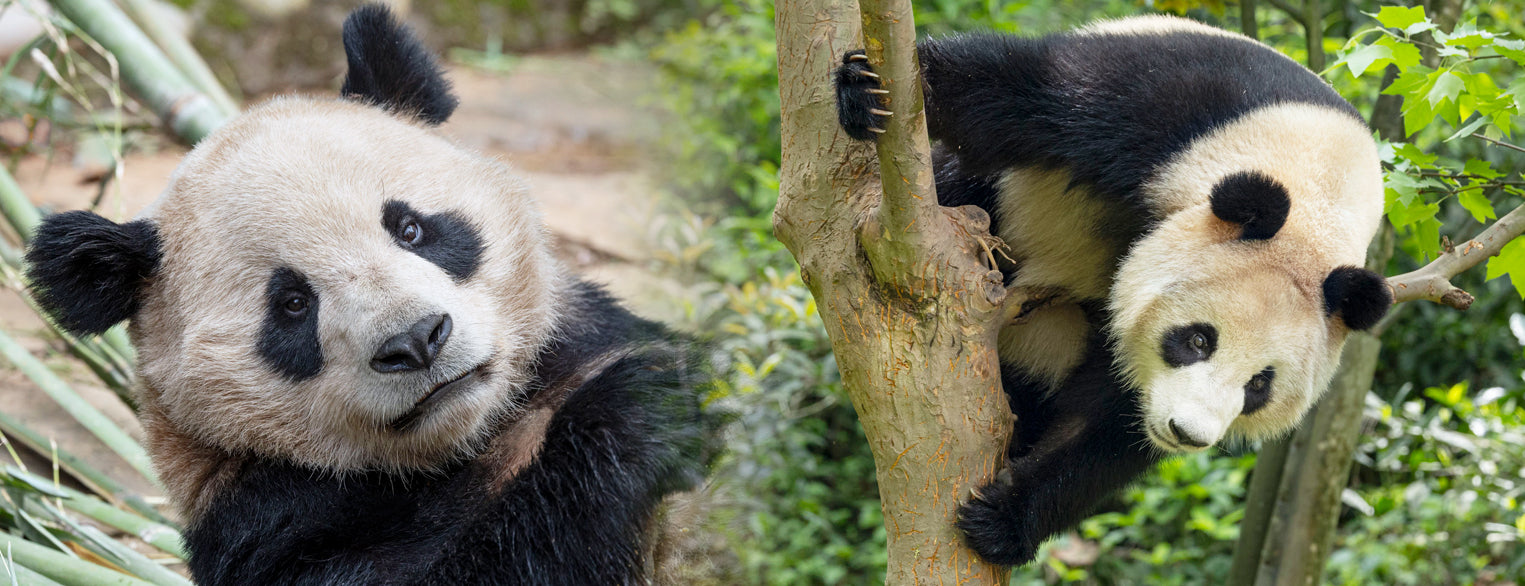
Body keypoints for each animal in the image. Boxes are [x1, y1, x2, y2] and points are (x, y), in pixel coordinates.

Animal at [23, 5, 713, 586]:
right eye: (293, 304)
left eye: (410, 229)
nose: (416, 341)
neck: (465, 441)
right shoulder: (268, 520)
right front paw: (640, 408)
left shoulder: (580, 345)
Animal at [835, 14, 1396, 567]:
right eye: (1198, 340)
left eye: (1260, 384)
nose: (1187, 433)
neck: (1315, 193)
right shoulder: (1174, 108)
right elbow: (1010, 99)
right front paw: (864, 89)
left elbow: (1108, 430)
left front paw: (1002, 521)